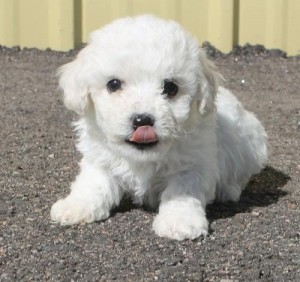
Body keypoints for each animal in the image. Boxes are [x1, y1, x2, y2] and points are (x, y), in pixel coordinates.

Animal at [51, 14, 268, 240]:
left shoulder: (194, 164)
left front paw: (179, 221)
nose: (142, 120)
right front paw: (75, 206)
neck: (143, 157)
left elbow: (181, 190)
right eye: (113, 84)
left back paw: (229, 190)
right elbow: (93, 183)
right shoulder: (100, 158)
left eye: (170, 87)